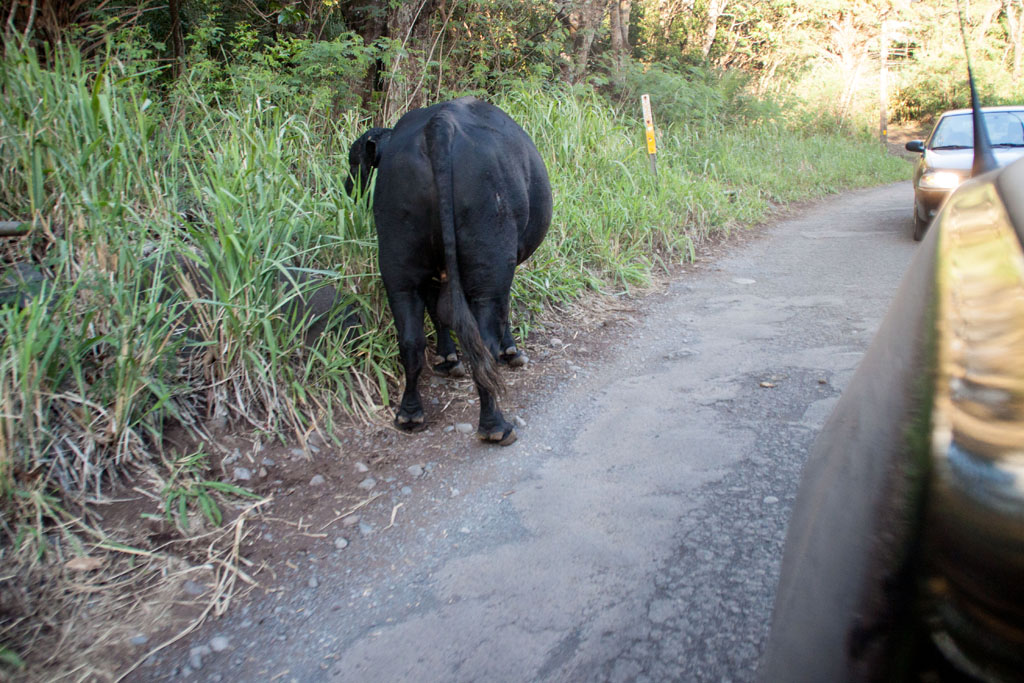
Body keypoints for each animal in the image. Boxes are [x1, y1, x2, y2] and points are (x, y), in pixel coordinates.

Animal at [346, 97, 552, 448]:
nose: (348, 188)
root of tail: (439, 124)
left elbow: (438, 313)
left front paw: (447, 359)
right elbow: (502, 311)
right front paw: (511, 351)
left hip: (399, 265)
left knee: (410, 340)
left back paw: (410, 414)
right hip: (489, 264)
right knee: (483, 341)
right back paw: (495, 425)